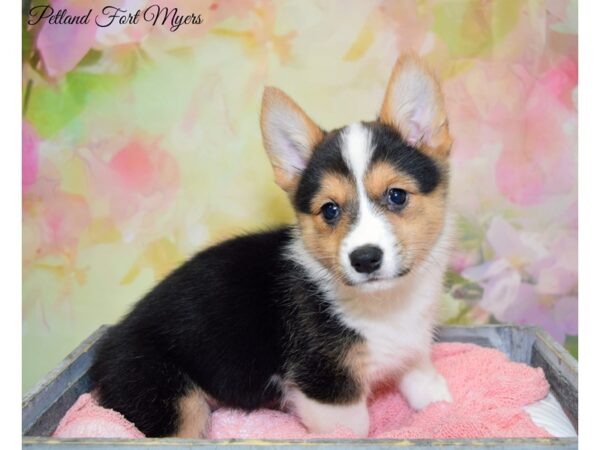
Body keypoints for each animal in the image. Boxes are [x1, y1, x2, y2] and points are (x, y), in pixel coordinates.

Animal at [91, 51, 452, 436]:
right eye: (330, 210)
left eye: (397, 195)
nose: (364, 258)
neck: (386, 303)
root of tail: (105, 352)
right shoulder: (328, 388)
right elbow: (351, 430)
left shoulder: (413, 350)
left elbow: (425, 383)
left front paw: (440, 405)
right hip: (170, 400)